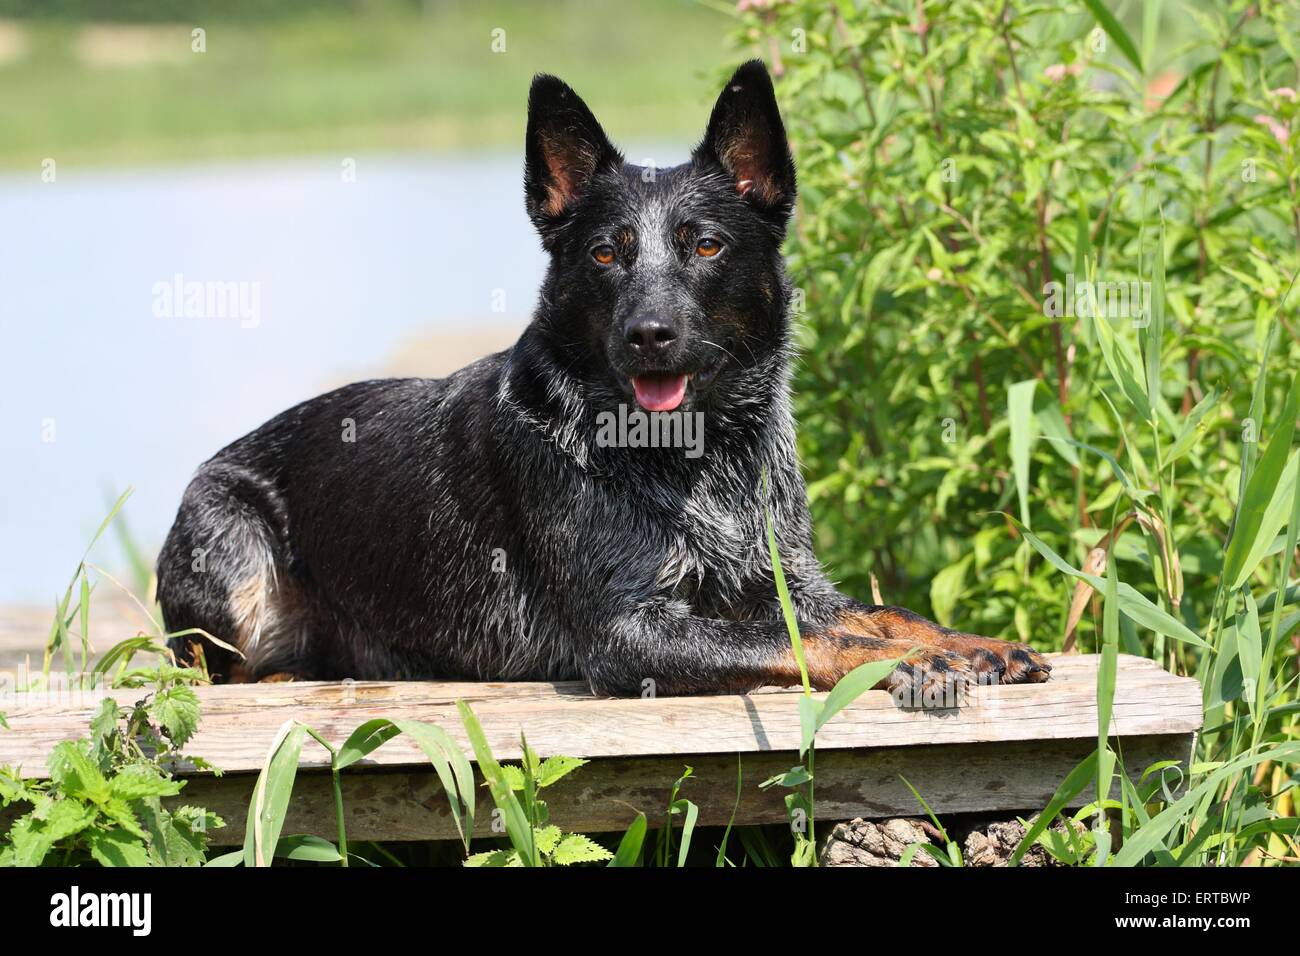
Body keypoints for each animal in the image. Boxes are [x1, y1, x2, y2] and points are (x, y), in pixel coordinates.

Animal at [157, 63, 1050, 697]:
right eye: (605, 254)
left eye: (706, 245)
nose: (648, 335)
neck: (698, 461)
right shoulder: (628, 634)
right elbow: (814, 639)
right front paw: (910, 664)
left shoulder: (785, 578)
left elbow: (887, 613)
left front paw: (971, 644)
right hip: (231, 551)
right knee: (210, 668)